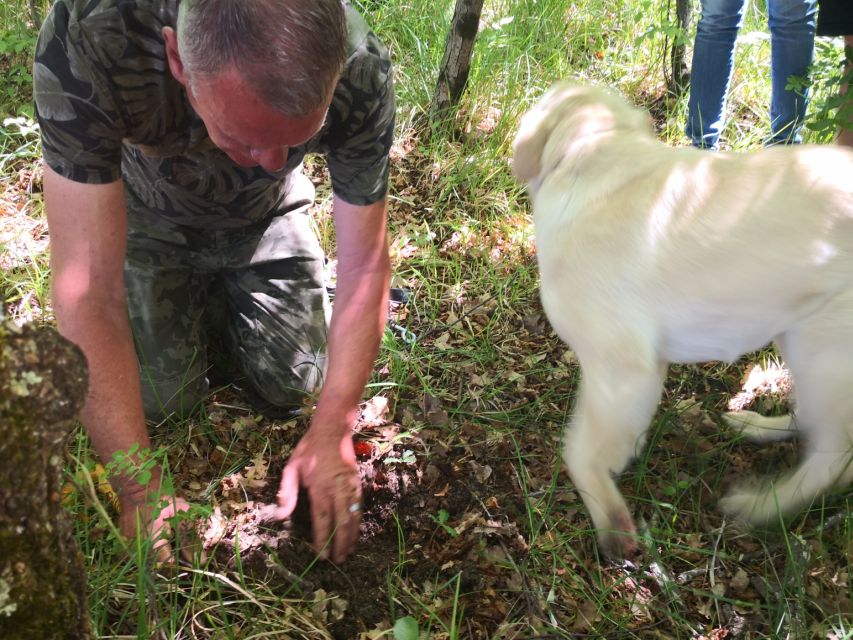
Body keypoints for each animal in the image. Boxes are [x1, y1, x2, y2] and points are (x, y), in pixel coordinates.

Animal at [510, 81, 852, 560]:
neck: (598, 150)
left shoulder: (622, 372)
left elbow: (579, 452)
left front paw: (612, 524)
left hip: (824, 348)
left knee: (836, 459)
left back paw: (764, 505)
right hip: (798, 334)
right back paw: (756, 426)